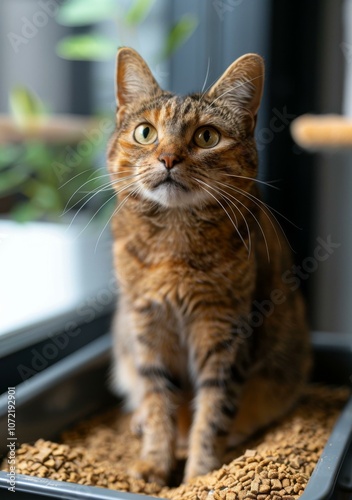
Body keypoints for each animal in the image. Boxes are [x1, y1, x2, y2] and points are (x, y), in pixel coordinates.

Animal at [107, 46, 310, 484]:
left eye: (207, 137)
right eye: (145, 133)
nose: (168, 157)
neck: (174, 246)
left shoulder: (223, 332)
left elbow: (214, 412)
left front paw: (199, 476)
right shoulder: (147, 324)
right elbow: (158, 400)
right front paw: (155, 463)